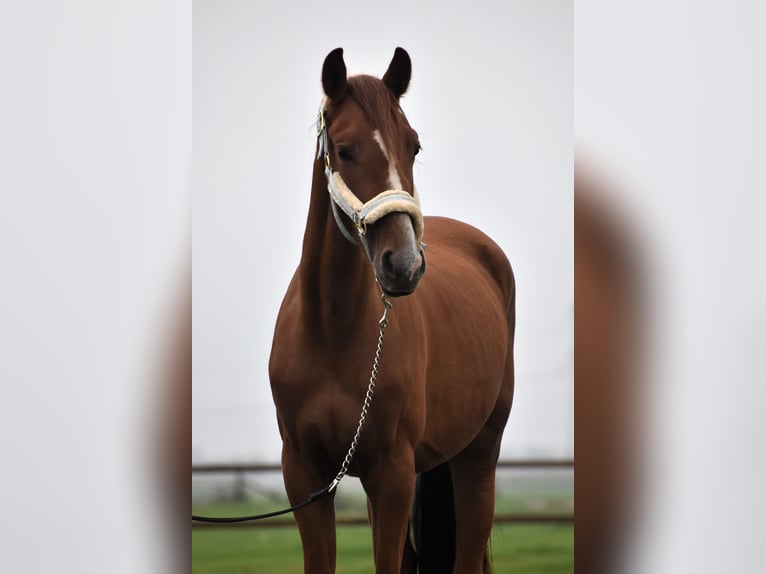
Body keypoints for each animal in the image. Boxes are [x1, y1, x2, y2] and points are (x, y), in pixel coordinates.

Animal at [270, 49, 516, 574]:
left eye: (415, 146)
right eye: (344, 149)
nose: (404, 265)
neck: (331, 331)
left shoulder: (393, 473)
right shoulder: (305, 476)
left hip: (478, 457)